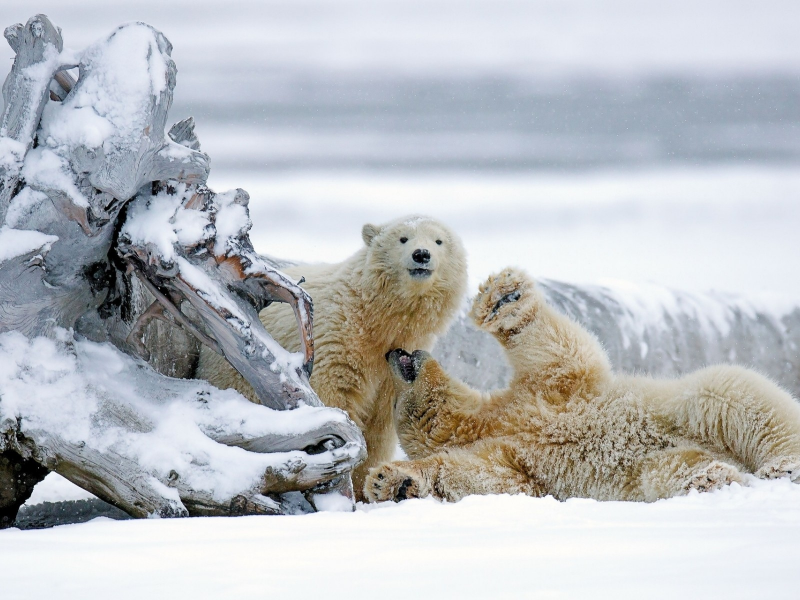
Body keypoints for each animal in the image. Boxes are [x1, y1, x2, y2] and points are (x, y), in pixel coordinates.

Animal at [196, 216, 466, 492]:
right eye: (403, 238)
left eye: (438, 241)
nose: (421, 254)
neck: (373, 317)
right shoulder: (336, 337)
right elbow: (334, 397)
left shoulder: (392, 368)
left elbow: (380, 425)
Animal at [366, 268, 800, 502]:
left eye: (393, 398)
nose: (395, 352)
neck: (483, 422)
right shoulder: (509, 455)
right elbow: (497, 480)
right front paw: (394, 481)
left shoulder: (544, 393)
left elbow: (559, 353)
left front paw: (504, 297)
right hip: (645, 470)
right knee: (668, 469)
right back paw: (713, 477)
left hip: (681, 408)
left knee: (730, 393)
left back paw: (782, 465)